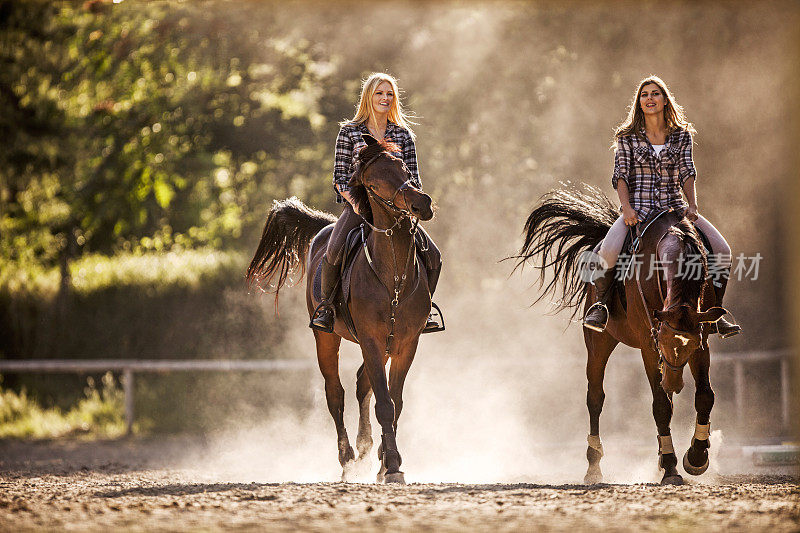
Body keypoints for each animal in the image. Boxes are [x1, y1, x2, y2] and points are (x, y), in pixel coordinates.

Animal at [247, 135, 434, 484]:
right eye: (373, 182)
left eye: (405, 168)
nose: (422, 204)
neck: (393, 278)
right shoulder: (371, 340)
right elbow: (384, 403)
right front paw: (391, 465)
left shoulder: (405, 344)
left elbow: (395, 400)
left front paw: (385, 460)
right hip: (327, 338)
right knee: (336, 393)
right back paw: (347, 458)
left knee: (362, 385)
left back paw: (364, 450)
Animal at [512, 185, 732, 484]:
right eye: (663, 344)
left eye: (688, 346)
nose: (675, 383)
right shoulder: (650, 346)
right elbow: (661, 407)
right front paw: (672, 468)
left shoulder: (700, 342)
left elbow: (705, 396)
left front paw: (696, 457)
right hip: (598, 343)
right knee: (595, 397)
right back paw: (594, 467)